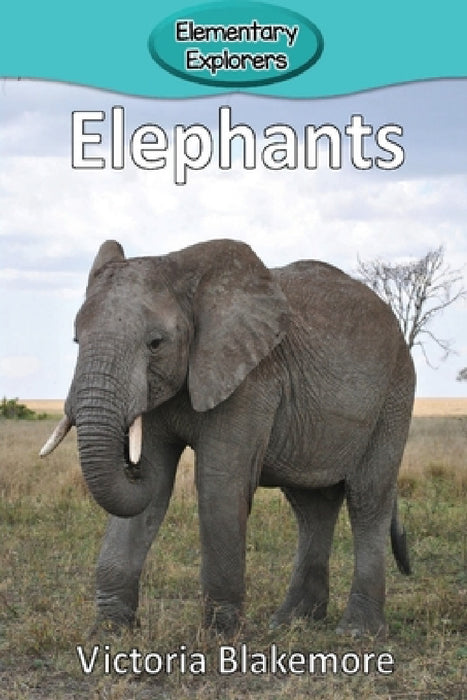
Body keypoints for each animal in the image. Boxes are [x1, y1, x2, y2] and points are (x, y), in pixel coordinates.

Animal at [41, 238, 414, 637]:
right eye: (76, 340)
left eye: (155, 343)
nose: (128, 459)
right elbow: (154, 488)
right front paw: (109, 632)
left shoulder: (251, 378)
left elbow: (218, 483)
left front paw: (220, 635)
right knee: (312, 507)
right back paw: (289, 622)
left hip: (394, 393)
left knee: (367, 497)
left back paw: (358, 631)